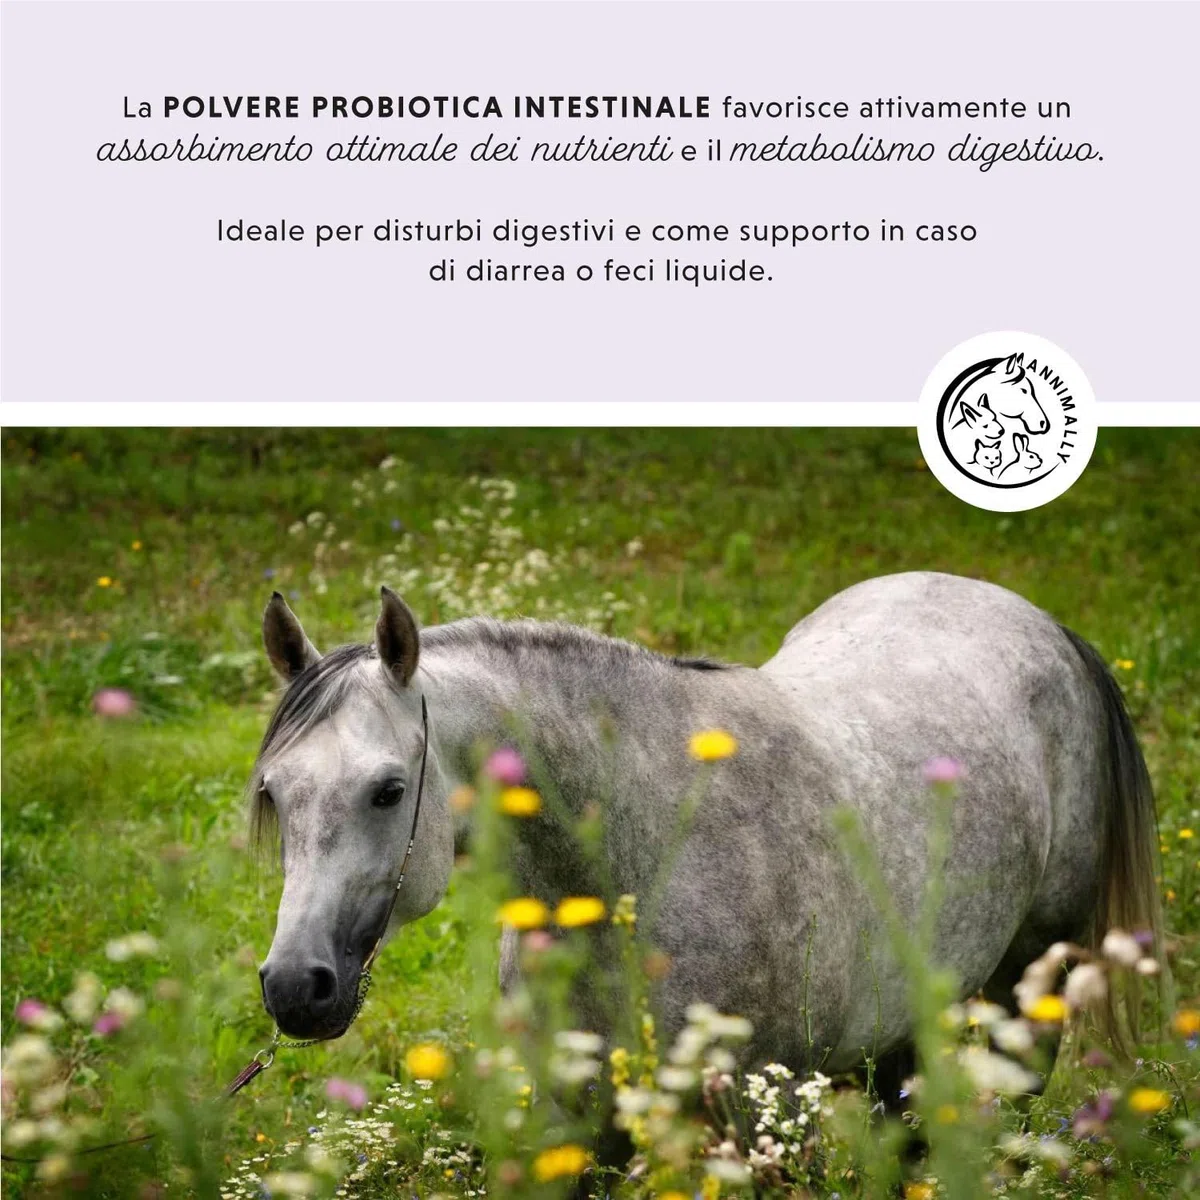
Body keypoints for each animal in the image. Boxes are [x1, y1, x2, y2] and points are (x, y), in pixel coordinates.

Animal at [249, 572, 1159, 1094]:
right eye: (274, 793)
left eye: (388, 790)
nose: (295, 987)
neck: (644, 857)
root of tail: (1045, 625)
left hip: (1027, 989)